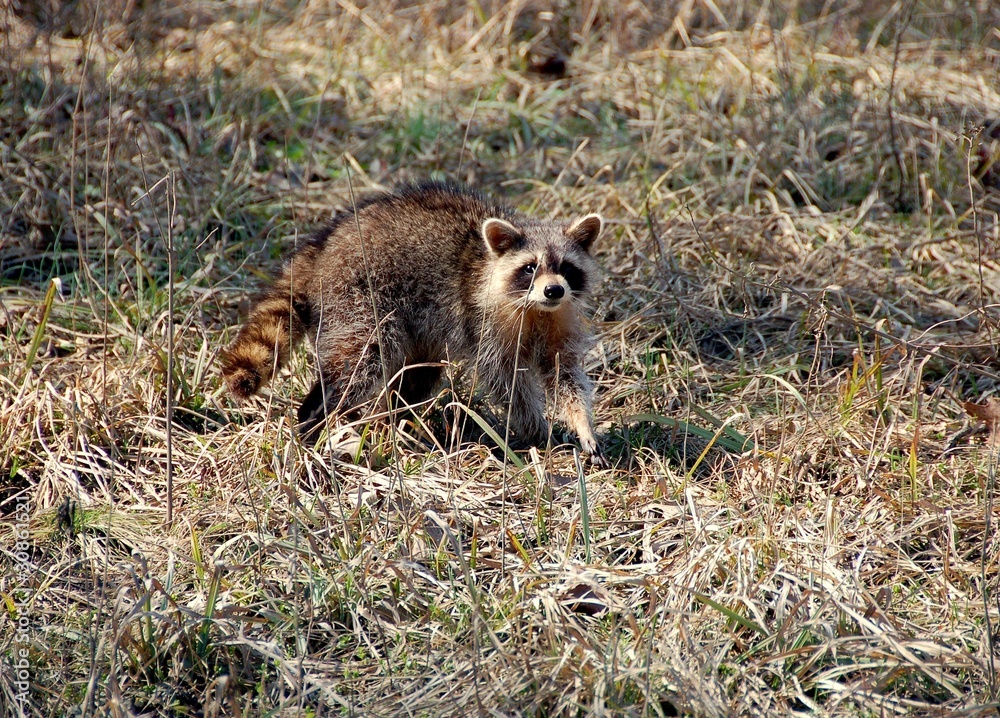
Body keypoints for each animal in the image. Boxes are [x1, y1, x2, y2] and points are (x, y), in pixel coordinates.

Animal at [220, 183, 607, 466]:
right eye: (529, 268)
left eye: (567, 268)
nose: (554, 290)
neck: (536, 309)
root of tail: (323, 245)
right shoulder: (485, 321)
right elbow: (507, 381)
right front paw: (537, 429)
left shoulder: (562, 318)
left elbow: (565, 373)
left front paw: (581, 422)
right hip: (359, 298)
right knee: (360, 363)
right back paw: (315, 419)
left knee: (418, 375)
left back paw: (395, 422)